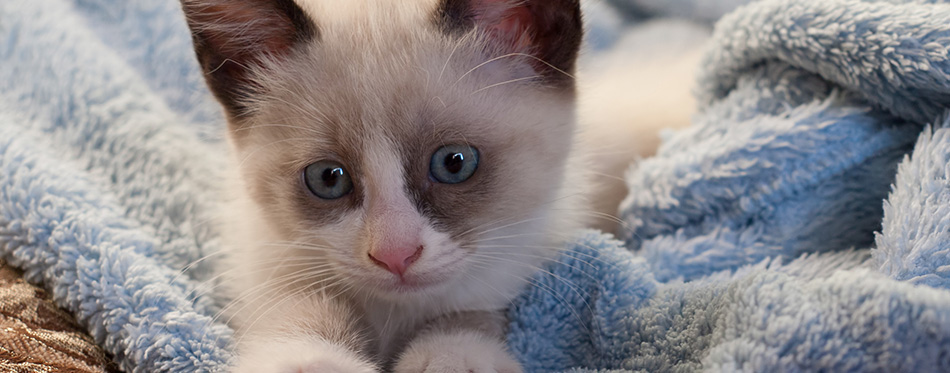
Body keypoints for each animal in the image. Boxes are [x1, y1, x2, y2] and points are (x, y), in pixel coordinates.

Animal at [180, 0, 588, 370]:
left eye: (454, 163)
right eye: (328, 178)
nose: (395, 256)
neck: (393, 316)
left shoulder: (506, 278)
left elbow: (465, 317)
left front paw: (449, 358)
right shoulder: (280, 275)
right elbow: (306, 315)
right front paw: (316, 359)